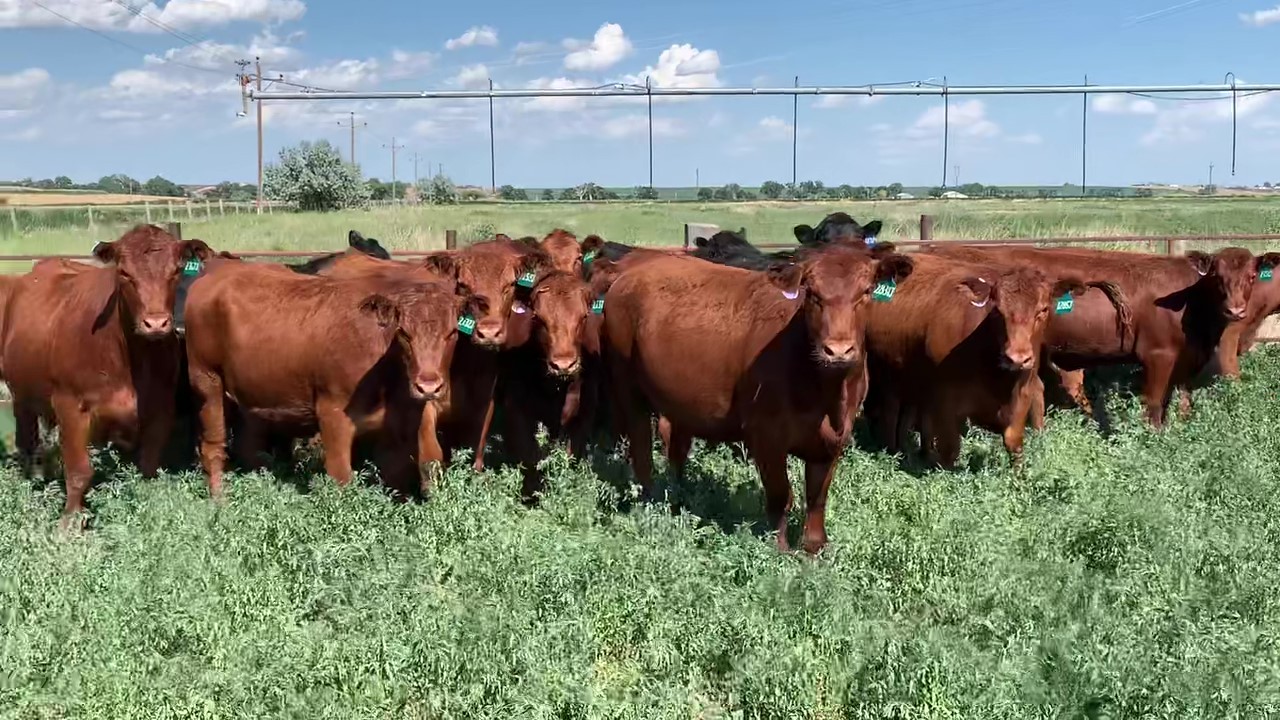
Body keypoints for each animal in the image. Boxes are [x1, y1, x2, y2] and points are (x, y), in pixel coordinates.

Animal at [0, 222, 215, 520]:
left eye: (176, 270)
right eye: (124, 273)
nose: (156, 323)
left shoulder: (159, 410)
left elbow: (148, 467)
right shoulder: (70, 406)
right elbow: (78, 472)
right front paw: (69, 522)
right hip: (21, 395)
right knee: (27, 442)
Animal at [183, 260, 468, 497]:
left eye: (452, 333)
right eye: (404, 333)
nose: (428, 385)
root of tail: (217, 271)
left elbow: (409, 470)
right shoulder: (333, 415)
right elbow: (341, 476)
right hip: (207, 382)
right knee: (213, 447)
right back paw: (219, 502)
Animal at [604, 243, 916, 550]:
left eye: (866, 291)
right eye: (811, 293)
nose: (838, 350)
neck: (827, 395)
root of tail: (630, 273)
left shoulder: (834, 440)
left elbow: (817, 500)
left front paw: (813, 552)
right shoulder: (765, 437)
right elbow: (781, 497)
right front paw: (779, 550)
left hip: (682, 399)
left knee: (677, 448)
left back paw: (680, 499)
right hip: (628, 386)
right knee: (641, 450)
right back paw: (649, 503)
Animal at [926, 244, 1274, 425]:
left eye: (1252, 276)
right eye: (1216, 276)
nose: (1236, 311)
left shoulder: (1188, 360)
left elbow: (1184, 400)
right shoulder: (1158, 355)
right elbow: (1153, 403)